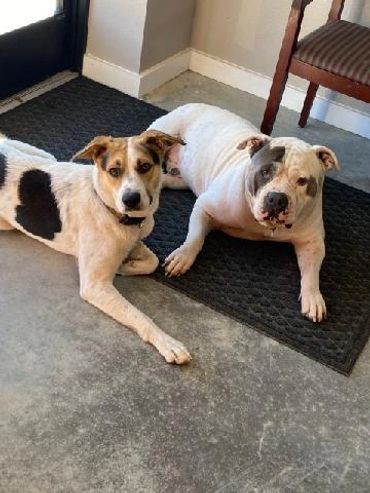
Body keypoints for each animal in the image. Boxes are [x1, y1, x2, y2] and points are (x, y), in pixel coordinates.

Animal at [0, 130, 191, 362]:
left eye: (145, 166)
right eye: (114, 171)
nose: (130, 199)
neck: (109, 207)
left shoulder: (134, 240)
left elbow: (152, 261)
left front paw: (124, 266)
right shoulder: (95, 286)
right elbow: (139, 315)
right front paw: (167, 342)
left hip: (44, 156)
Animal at [149, 102, 340, 320]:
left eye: (302, 181)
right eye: (265, 172)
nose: (277, 198)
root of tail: (192, 104)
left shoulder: (312, 242)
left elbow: (312, 272)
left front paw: (313, 296)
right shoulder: (205, 207)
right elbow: (195, 239)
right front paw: (182, 256)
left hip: (180, 180)